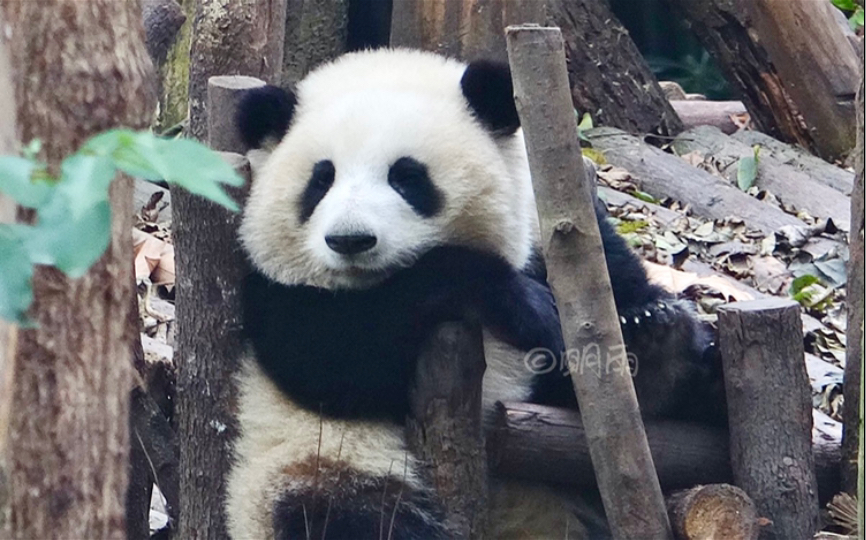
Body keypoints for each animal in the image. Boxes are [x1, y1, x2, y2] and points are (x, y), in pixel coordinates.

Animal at [224, 48, 724, 536]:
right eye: (321, 180)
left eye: (406, 176)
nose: (350, 240)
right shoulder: (276, 292)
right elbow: (328, 357)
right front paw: (525, 304)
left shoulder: (555, 239)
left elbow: (617, 289)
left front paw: (654, 329)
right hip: (314, 468)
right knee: (347, 515)